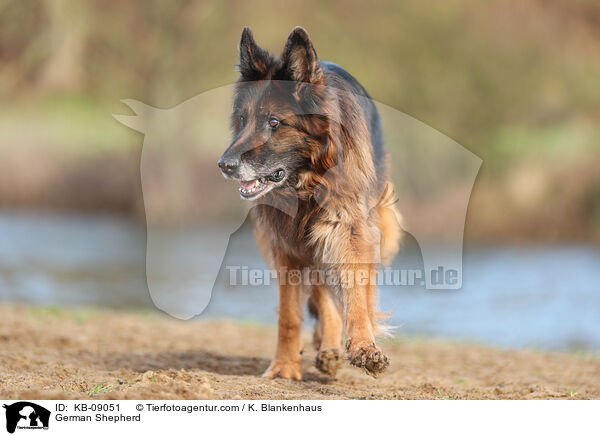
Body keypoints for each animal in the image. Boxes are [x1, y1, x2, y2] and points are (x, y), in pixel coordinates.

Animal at [218, 26, 400, 378]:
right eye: (243, 119)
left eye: (274, 123)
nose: (224, 166)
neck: (306, 182)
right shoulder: (286, 244)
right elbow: (290, 315)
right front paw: (284, 367)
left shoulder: (349, 230)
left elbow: (357, 293)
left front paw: (364, 345)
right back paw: (328, 348)